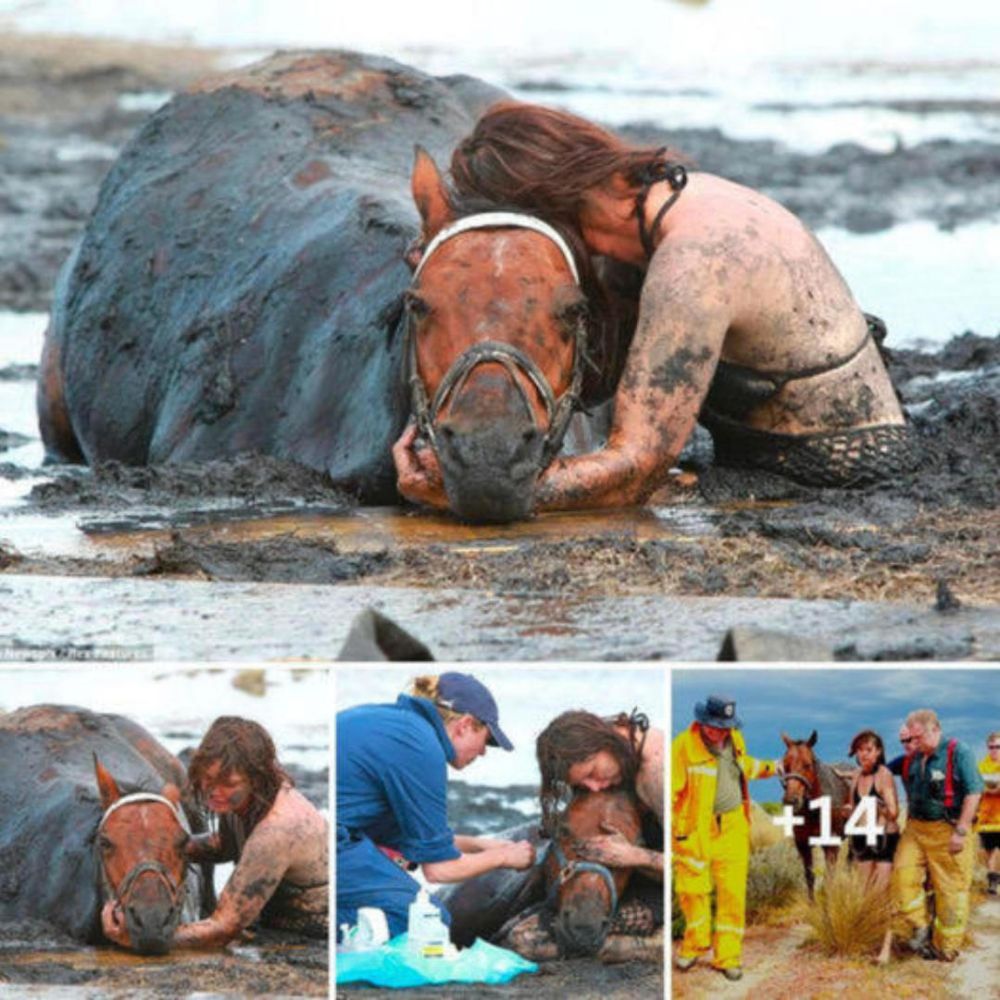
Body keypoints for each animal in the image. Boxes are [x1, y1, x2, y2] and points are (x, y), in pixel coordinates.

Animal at [780, 732, 852, 904]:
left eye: (807, 764)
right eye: (785, 765)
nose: (791, 800)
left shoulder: (831, 845)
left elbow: (829, 877)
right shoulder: (803, 845)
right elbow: (809, 876)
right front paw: (812, 904)